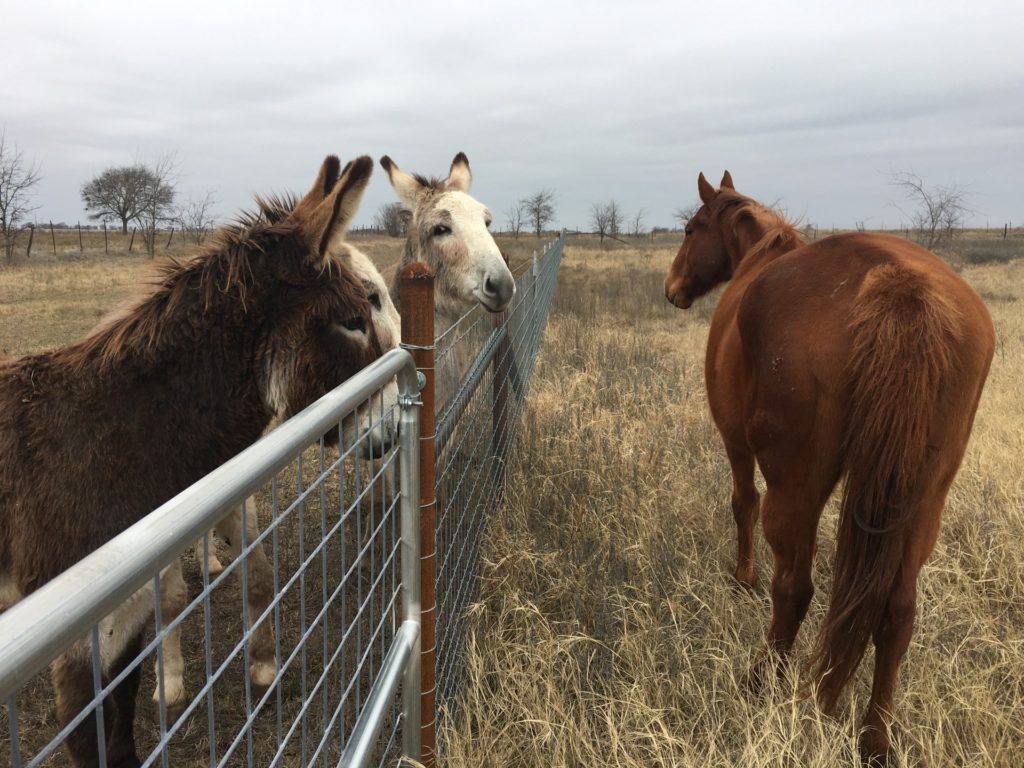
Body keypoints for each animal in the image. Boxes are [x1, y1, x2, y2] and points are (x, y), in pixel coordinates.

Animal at [0, 153, 390, 768]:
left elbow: (123, 730)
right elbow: (98, 742)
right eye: (353, 319)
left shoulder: (126, 623)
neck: (116, 435)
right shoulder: (85, 639)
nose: (391, 431)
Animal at [663, 171, 994, 763]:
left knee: (795, 586)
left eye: (690, 228)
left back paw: (761, 680)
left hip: (796, 486)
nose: (671, 287)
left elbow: (741, 505)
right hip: (923, 500)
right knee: (898, 612)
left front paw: (742, 579)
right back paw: (875, 738)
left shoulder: (735, 445)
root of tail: (898, 286)